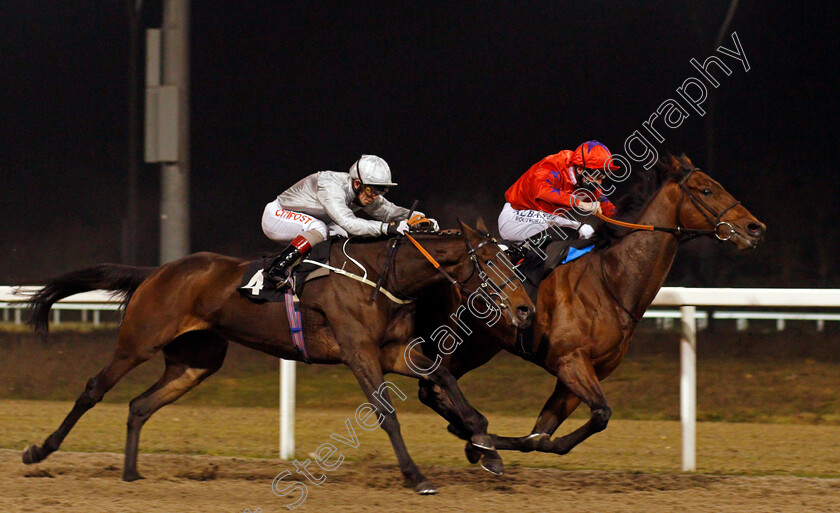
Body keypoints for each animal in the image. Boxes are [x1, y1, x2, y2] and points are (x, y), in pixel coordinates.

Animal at [23, 222, 536, 494]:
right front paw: (416, 476)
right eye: (491, 264)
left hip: (196, 361)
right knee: (95, 389)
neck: (380, 276)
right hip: (140, 341)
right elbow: (387, 414)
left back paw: (131, 473)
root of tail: (157, 271)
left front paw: (487, 448)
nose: (526, 309)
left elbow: (446, 379)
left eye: (514, 261)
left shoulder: (394, 351)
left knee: (139, 405)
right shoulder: (358, 352)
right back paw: (39, 450)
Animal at [416, 154, 768, 466]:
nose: (755, 228)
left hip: (480, 346)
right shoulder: (569, 361)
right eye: (706, 190)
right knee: (430, 386)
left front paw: (484, 444)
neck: (611, 280)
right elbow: (600, 414)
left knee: (433, 388)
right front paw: (478, 442)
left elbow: (541, 436)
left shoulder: (585, 371)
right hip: (456, 340)